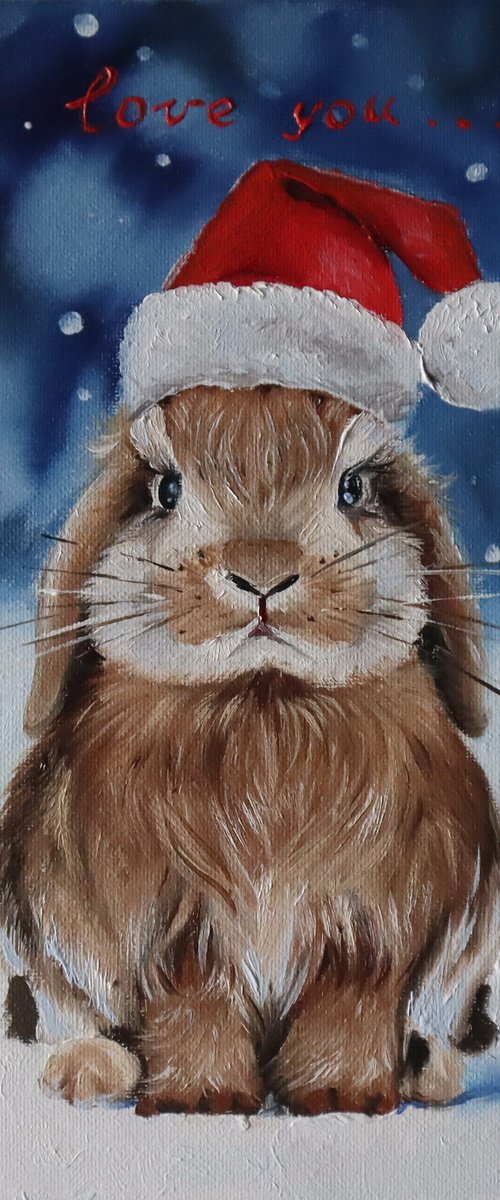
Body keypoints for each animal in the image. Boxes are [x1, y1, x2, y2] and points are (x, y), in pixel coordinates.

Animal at [0, 383, 498, 1116]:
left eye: (353, 488)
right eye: (166, 490)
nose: (262, 574)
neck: (264, 703)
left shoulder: (371, 928)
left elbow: (349, 1008)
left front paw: (339, 1093)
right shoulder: (177, 933)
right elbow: (194, 1005)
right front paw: (203, 1098)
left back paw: (425, 1066)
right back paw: (87, 1071)